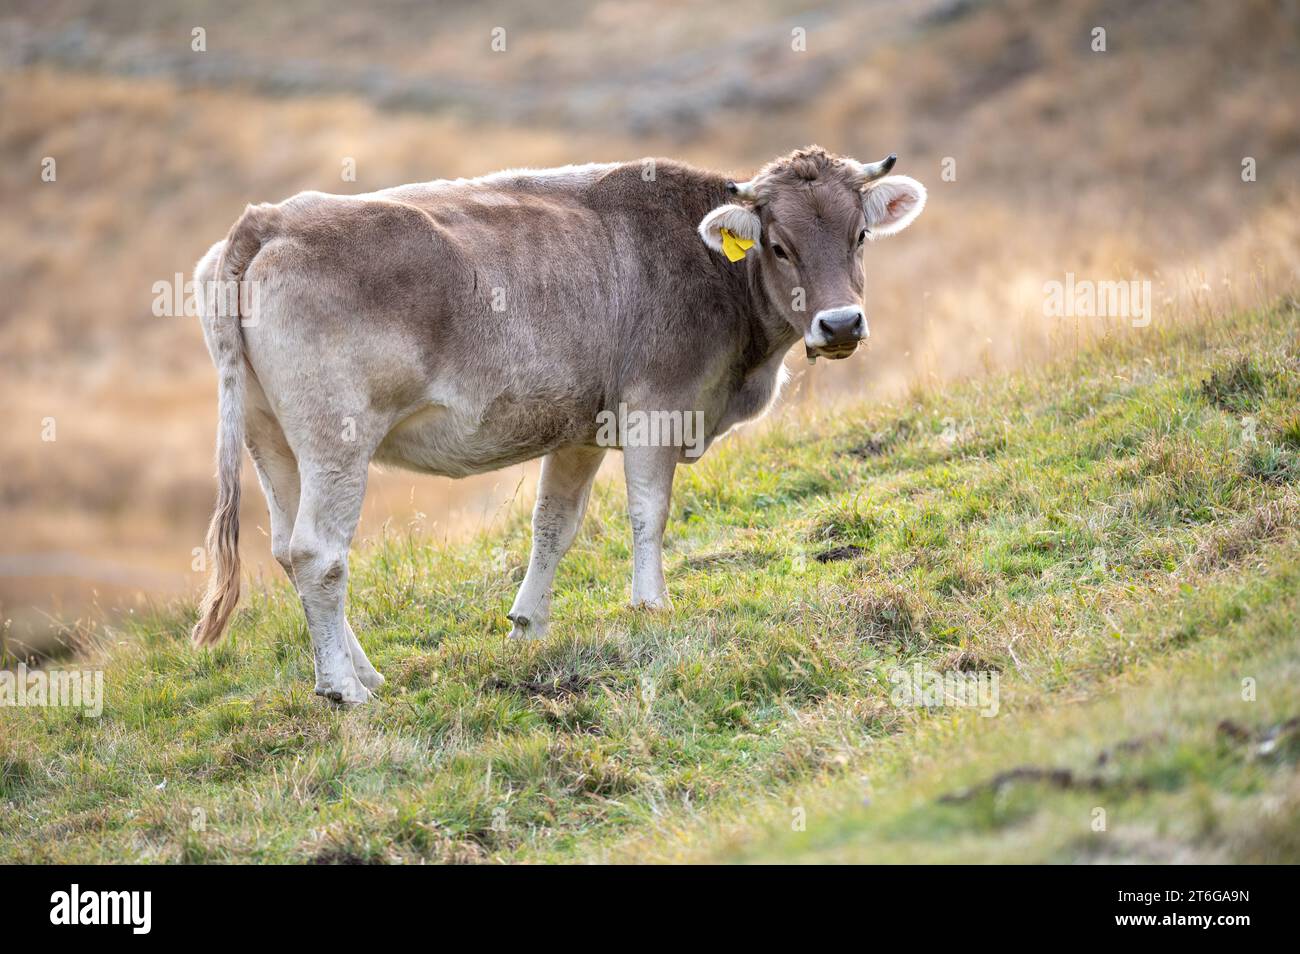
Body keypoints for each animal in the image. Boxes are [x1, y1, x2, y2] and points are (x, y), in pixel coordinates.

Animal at [190, 146, 926, 704]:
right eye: (777, 245)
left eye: (860, 235)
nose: (840, 323)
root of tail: (267, 221)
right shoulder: (657, 406)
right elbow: (647, 513)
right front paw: (651, 607)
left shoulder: (579, 427)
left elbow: (553, 525)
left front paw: (527, 625)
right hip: (336, 436)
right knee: (320, 552)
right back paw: (344, 689)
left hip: (271, 439)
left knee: (287, 549)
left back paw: (362, 672)